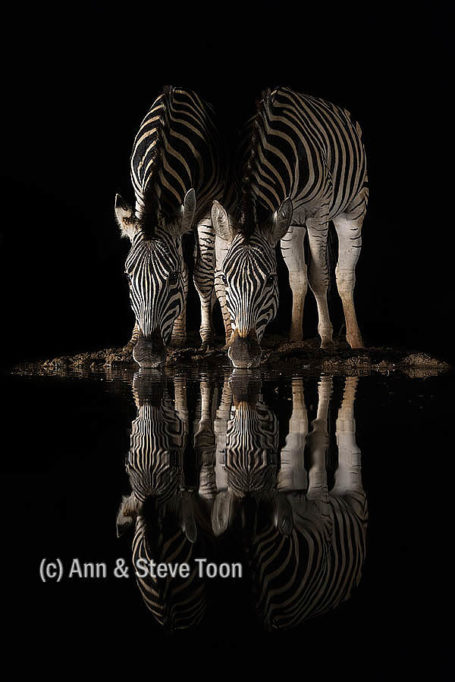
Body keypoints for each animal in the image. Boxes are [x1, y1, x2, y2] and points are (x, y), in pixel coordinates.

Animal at [114, 86, 224, 368]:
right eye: (127, 277)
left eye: (170, 278)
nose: (146, 355)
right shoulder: (141, 200)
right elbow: (185, 272)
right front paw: (134, 337)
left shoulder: (205, 210)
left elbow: (201, 275)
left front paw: (206, 338)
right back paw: (178, 335)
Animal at [211, 86, 369, 368]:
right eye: (228, 279)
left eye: (270, 280)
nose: (242, 355)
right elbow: (297, 276)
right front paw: (228, 342)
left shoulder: (318, 214)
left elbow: (319, 276)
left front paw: (326, 339)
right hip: (290, 224)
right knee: (297, 276)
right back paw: (295, 338)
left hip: (353, 208)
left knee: (343, 274)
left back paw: (355, 340)